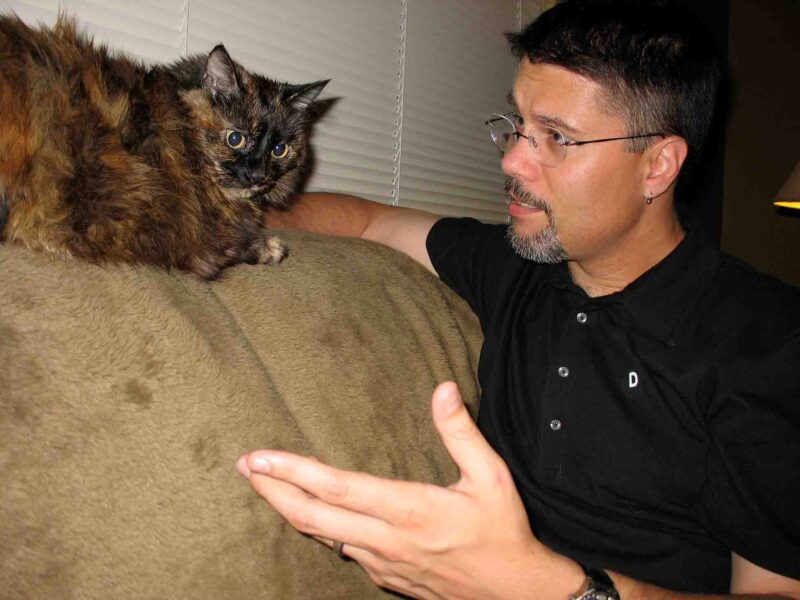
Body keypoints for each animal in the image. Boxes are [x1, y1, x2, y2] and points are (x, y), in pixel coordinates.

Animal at [0, 15, 328, 278]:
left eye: (279, 149)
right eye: (236, 138)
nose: (258, 174)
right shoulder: (196, 244)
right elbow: (233, 247)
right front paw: (270, 247)